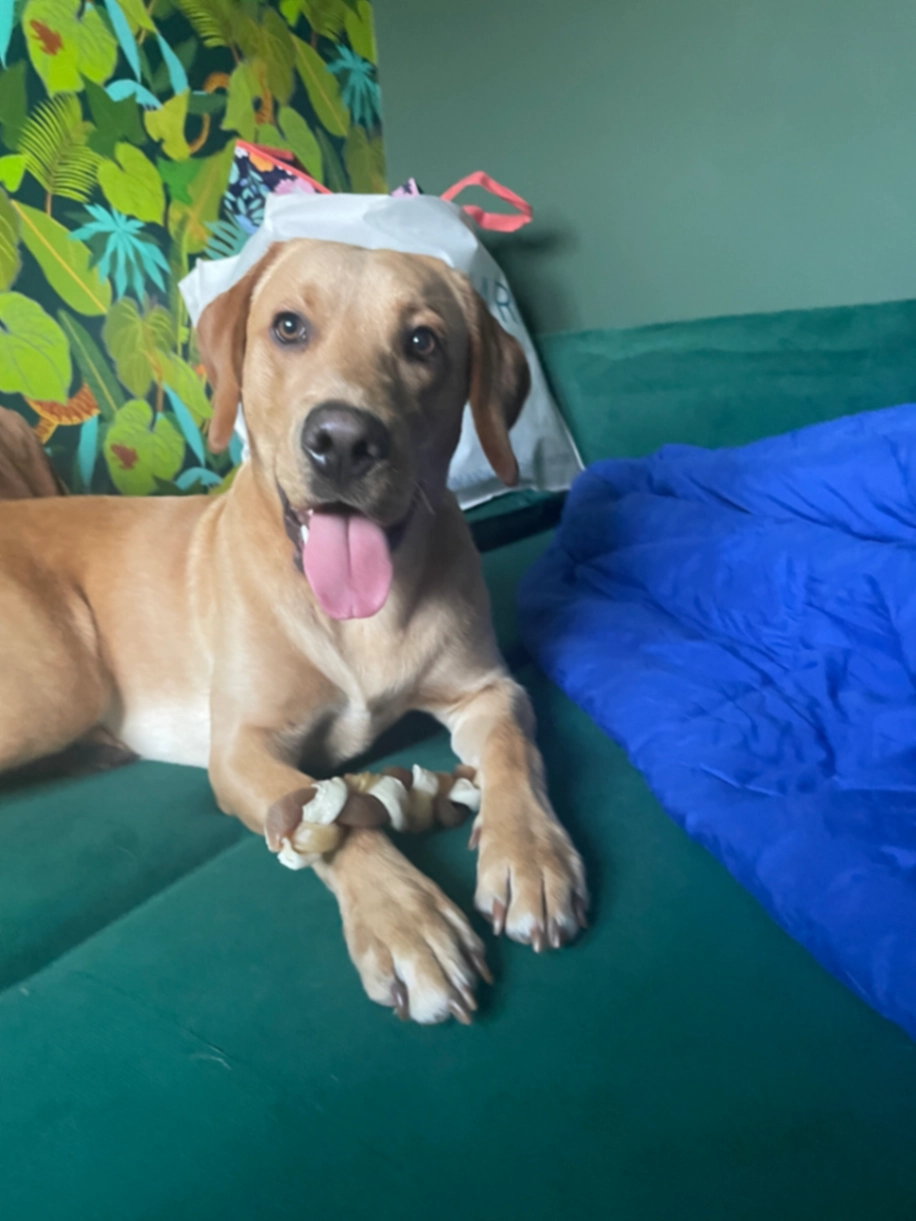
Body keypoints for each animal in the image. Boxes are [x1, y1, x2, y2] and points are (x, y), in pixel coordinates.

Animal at [0, 239, 588, 1024]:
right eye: (287, 327)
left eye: (423, 342)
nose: (343, 440)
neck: (360, 617)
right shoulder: (242, 748)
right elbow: (332, 819)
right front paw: (407, 922)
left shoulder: (489, 689)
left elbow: (514, 753)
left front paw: (530, 855)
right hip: (59, 684)